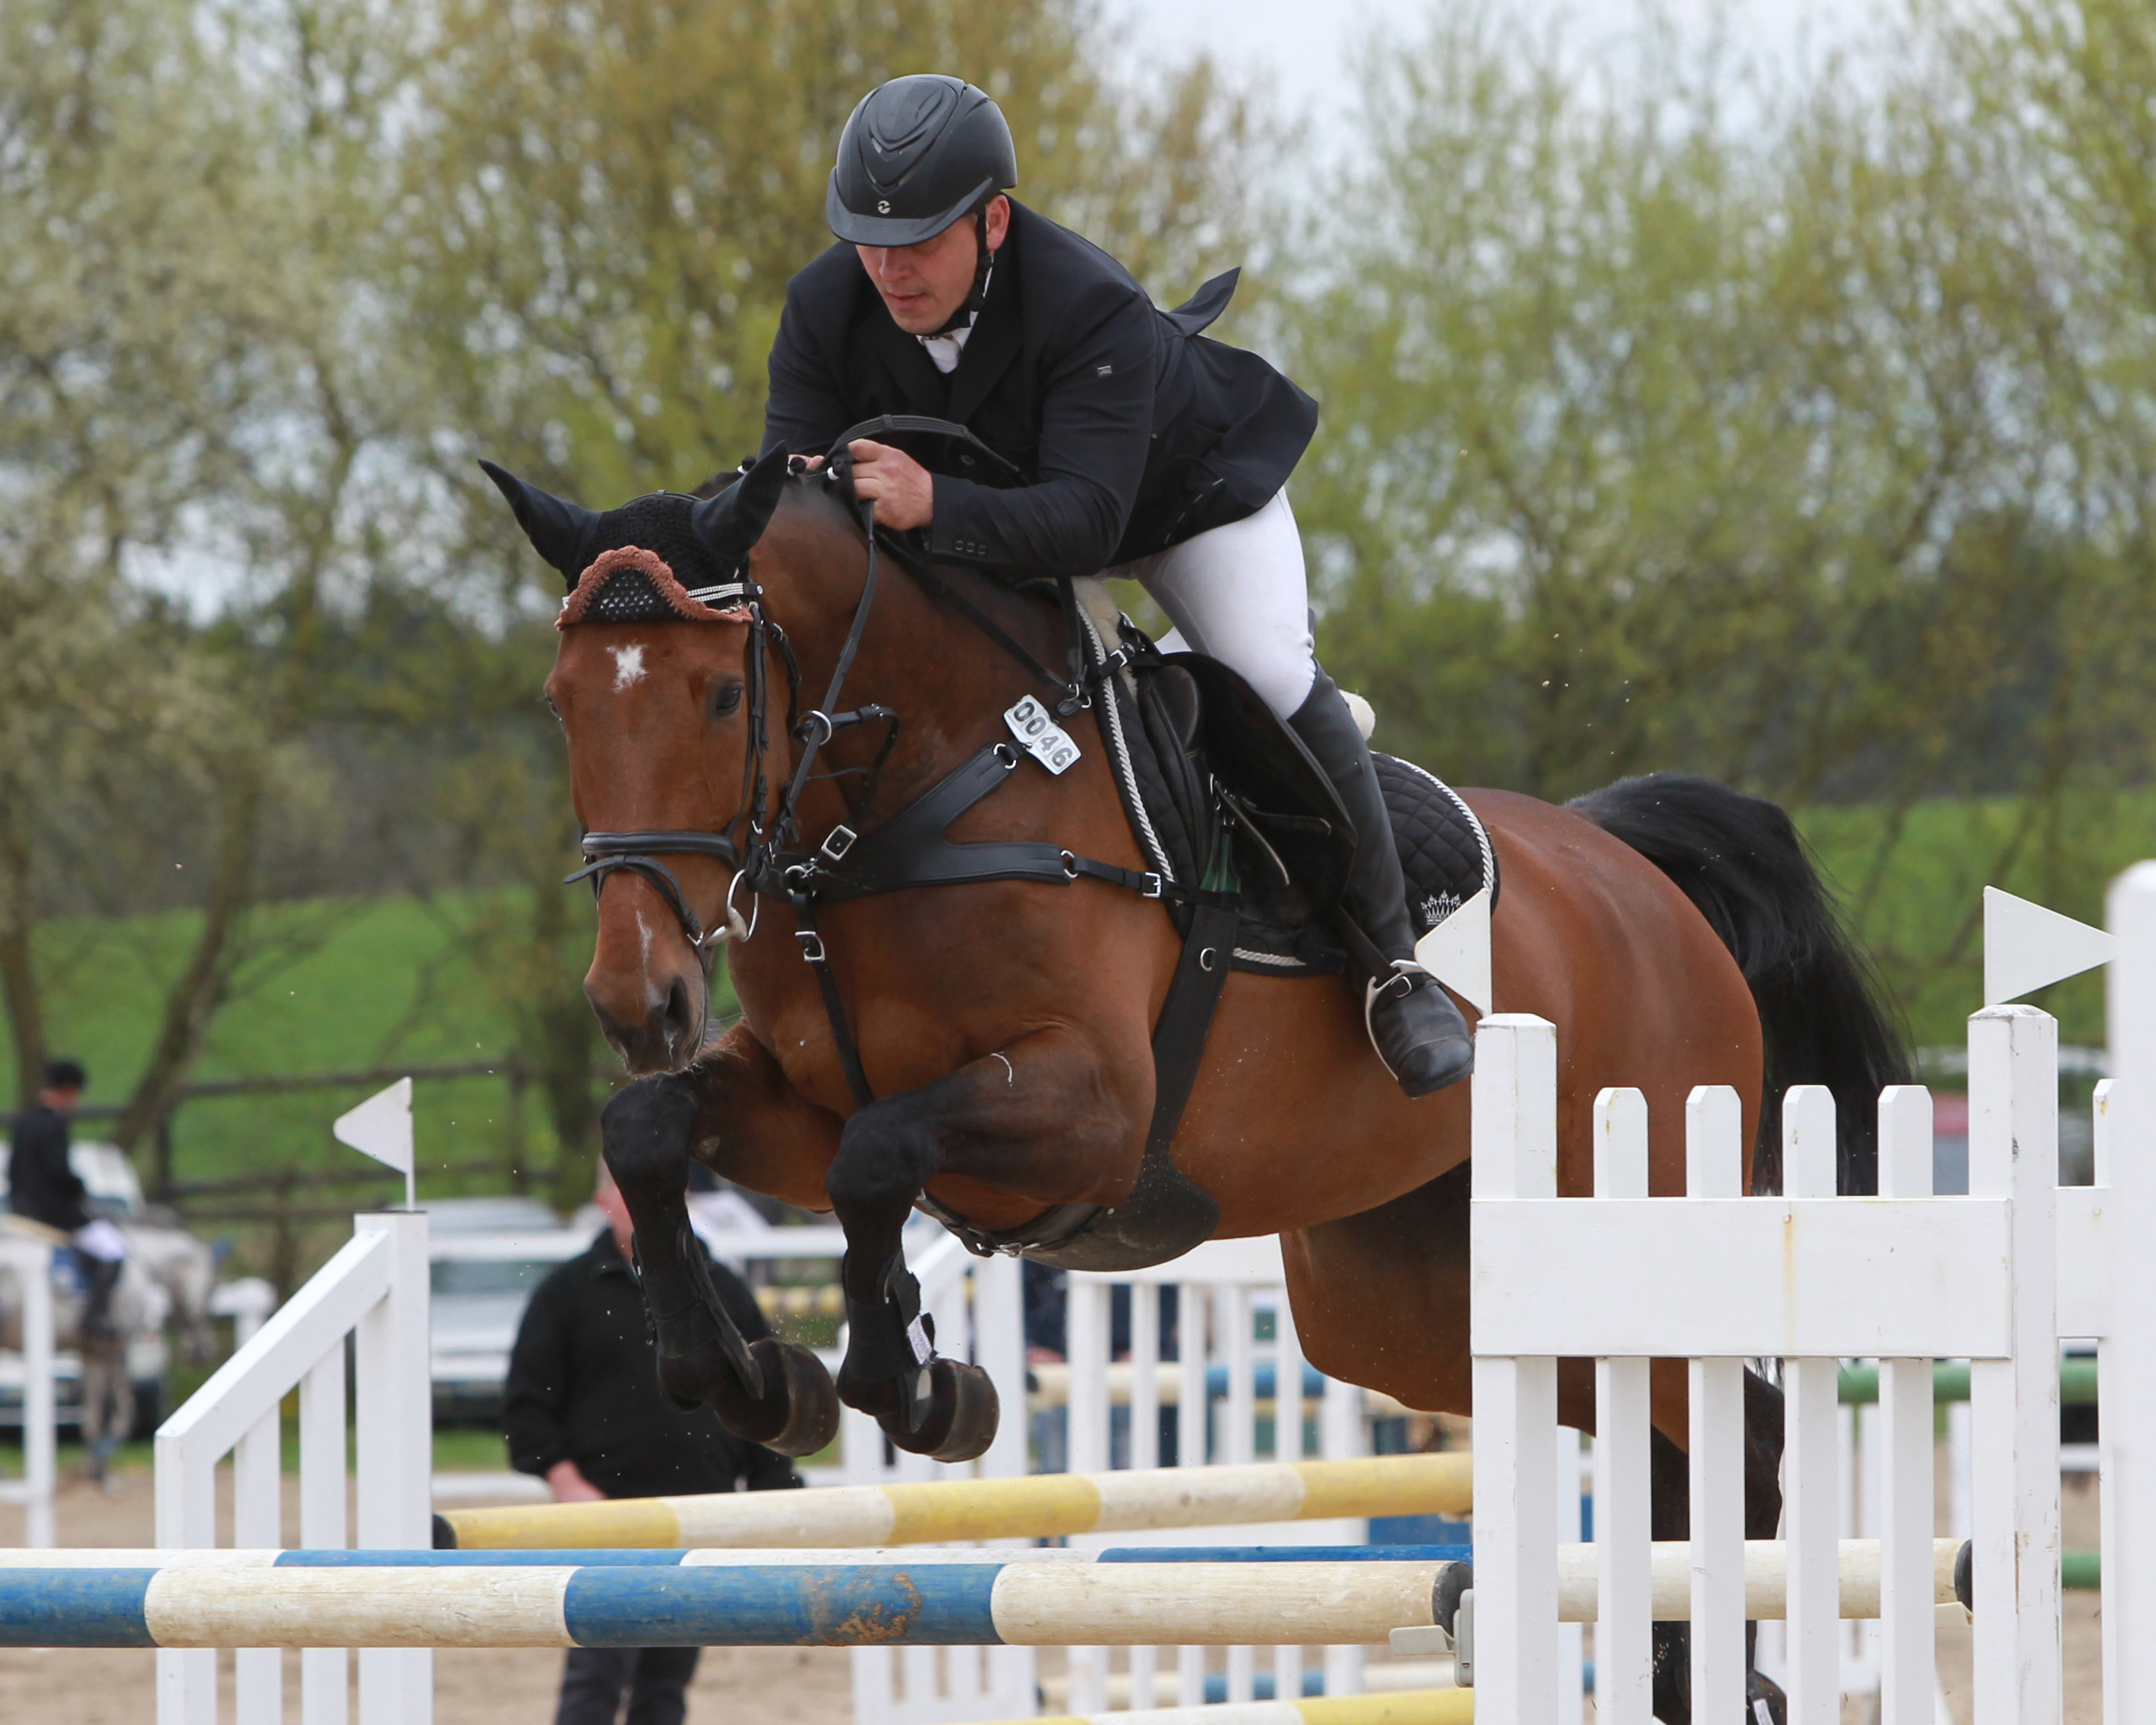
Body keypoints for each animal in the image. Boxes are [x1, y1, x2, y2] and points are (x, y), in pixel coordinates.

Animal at [493, 448, 1906, 1725]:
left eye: (718, 696)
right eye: (562, 702)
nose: (639, 1001)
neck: (914, 804)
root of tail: (1634, 865)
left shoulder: (1090, 1115)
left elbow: (878, 1160)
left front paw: (917, 1386)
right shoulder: (800, 1103)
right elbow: (654, 1127)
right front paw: (748, 1378)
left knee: (1743, 1442)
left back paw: (1709, 1678)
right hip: (1398, 1305)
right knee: (1660, 1433)